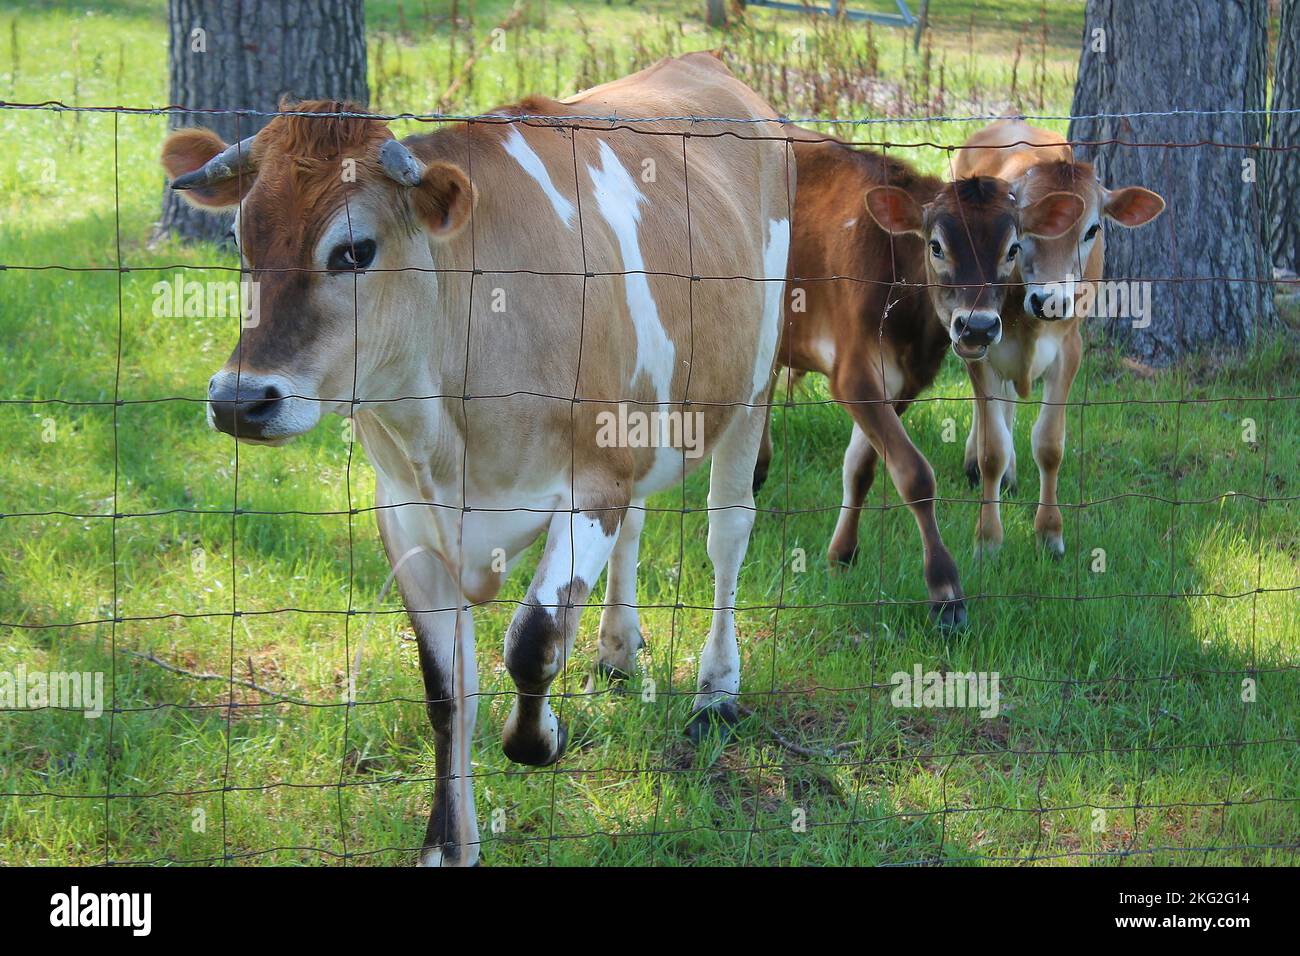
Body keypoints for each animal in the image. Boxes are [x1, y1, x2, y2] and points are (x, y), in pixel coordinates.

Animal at [160, 53, 794, 867]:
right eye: (242, 238)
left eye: (355, 250)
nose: (240, 400)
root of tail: (705, 64)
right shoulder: (408, 517)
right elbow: (445, 691)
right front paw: (447, 846)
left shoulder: (589, 489)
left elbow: (531, 644)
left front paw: (543, 737)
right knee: (641, 526)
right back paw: (619, 648)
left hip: (753, 389)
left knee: (727, 533)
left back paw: (717, 686)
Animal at [753, 134, 1084, 628]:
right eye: (936, 246)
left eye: (1013, 248)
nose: (977, 327)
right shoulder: (854, 374)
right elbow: (914, 474)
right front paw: (946, 593)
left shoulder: (908, 379)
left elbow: (862, 467)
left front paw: (842, 554)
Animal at [951, 119, 1165, 556]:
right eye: (1022, 230)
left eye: (1093, 229)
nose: (1050, 300)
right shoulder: (978, 341)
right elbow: (992, 448)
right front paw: (988, 539)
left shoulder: (1070, 349)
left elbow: (1050, 445)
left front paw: (1049, 534)